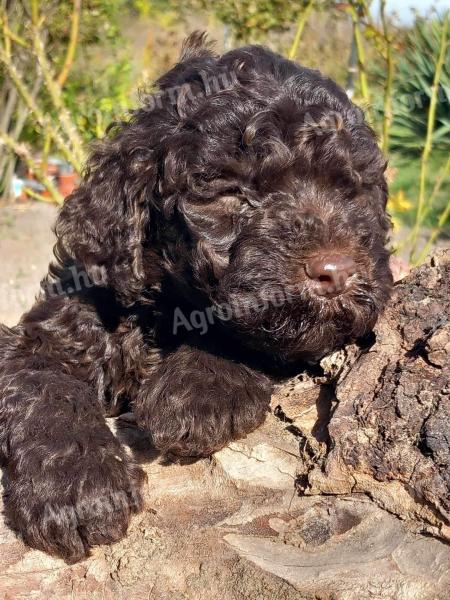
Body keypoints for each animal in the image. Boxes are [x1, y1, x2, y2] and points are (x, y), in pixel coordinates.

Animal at [0, 35, 392, 564]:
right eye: (233, 193)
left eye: (352, 191)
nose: (337, 270)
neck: (167, 313)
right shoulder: (57, 323)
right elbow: (43, 384)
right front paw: (78, 487)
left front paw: (198, 387)